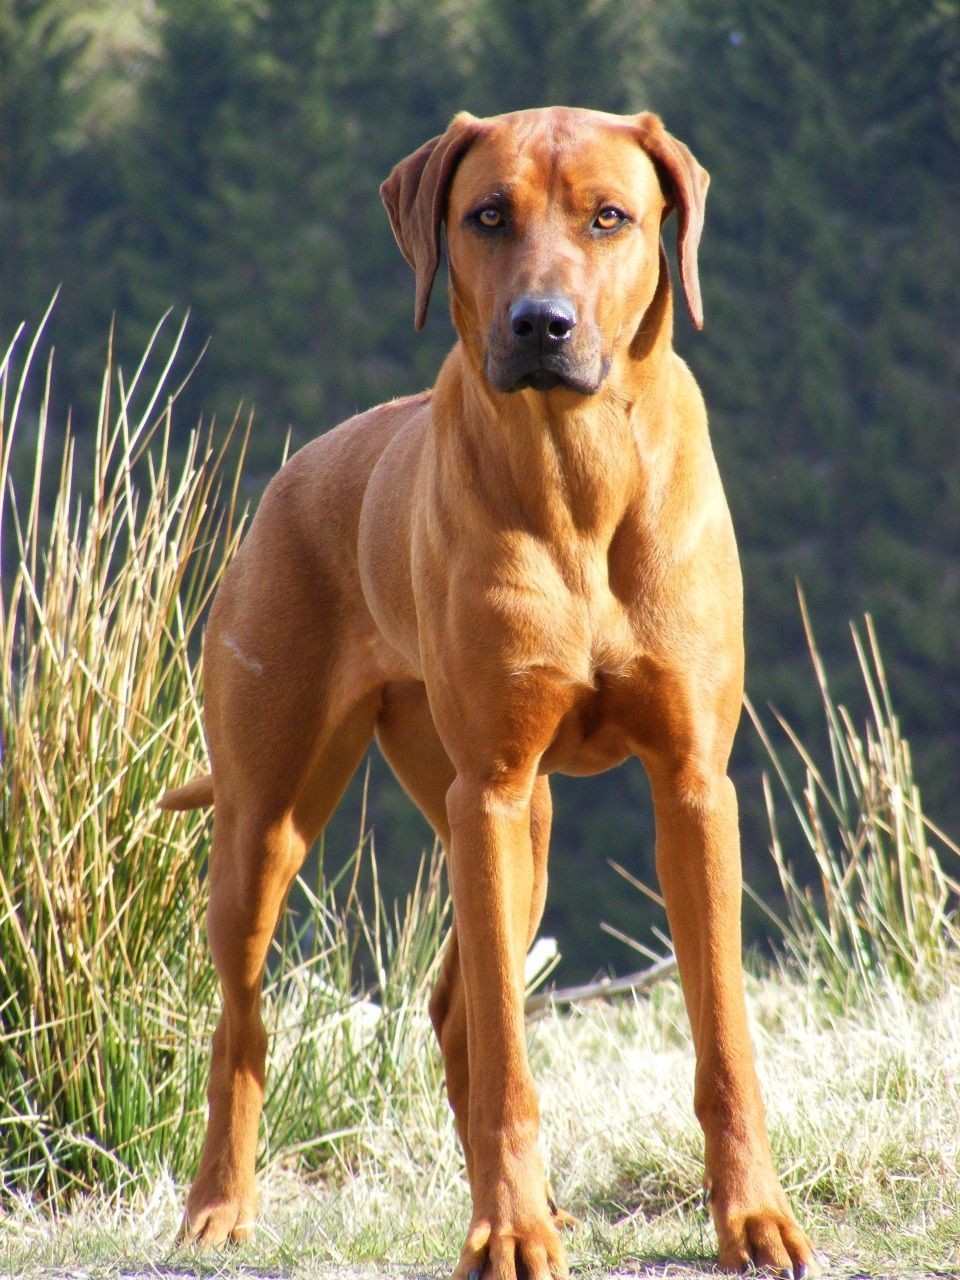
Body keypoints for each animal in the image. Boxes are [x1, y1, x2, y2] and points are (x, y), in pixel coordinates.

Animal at [163, 104, 819, 1274]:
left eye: (611, 217)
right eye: (487, 216)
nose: (541, 324)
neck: (578, 470)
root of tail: (297, 473)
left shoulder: (694, 784)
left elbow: (724, 1042)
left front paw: (753, 1217)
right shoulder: (493, 789)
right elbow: (512, 1063)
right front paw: (510, 1233)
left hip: (529, 829)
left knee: (456, 1007)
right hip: (272, 819)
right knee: (249, 1020)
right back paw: (222, 1205)